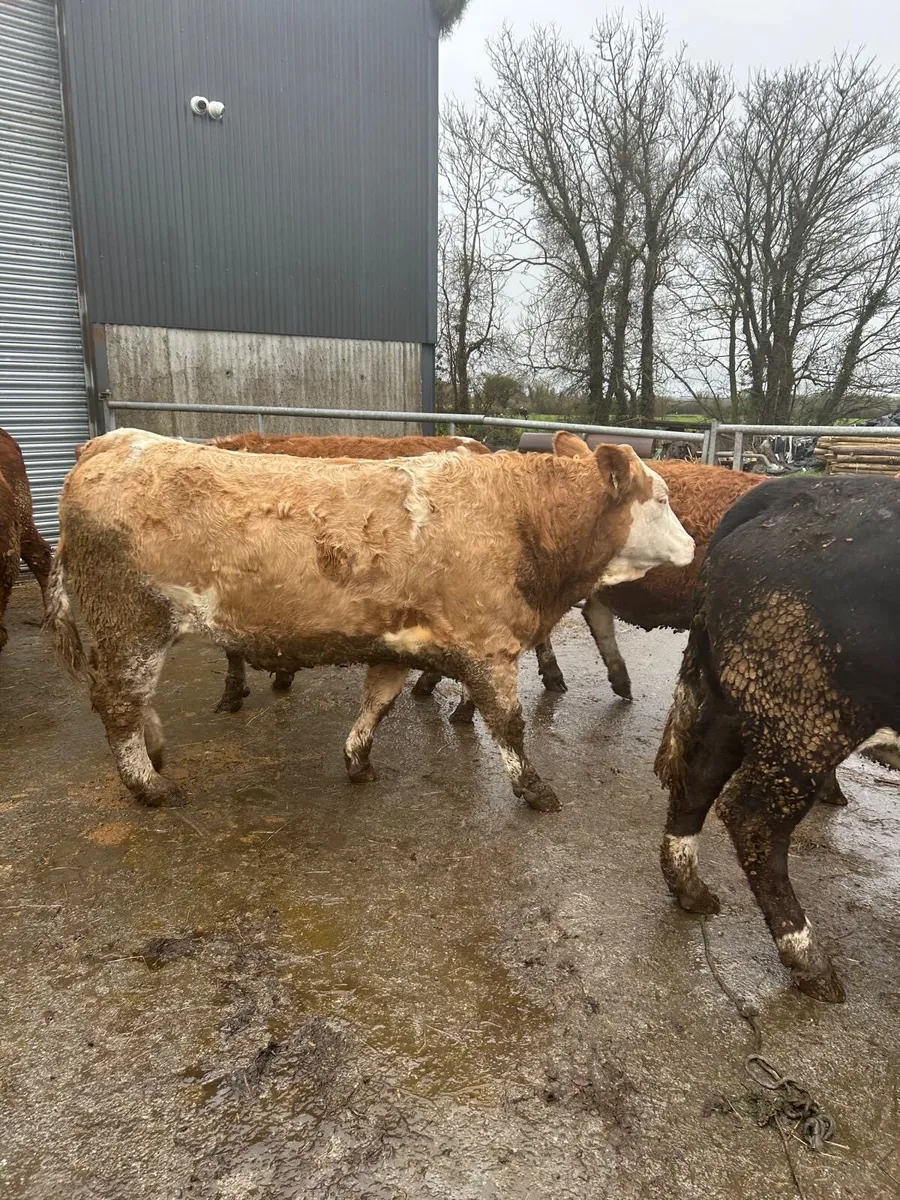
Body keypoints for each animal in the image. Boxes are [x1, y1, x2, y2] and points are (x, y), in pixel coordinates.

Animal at [655, 475, 900, 1002]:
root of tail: (788, 492)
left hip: (735, 705)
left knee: (697, 781)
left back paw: (690, 889)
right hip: (806, 723)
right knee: (753, 820)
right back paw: (810, 961)